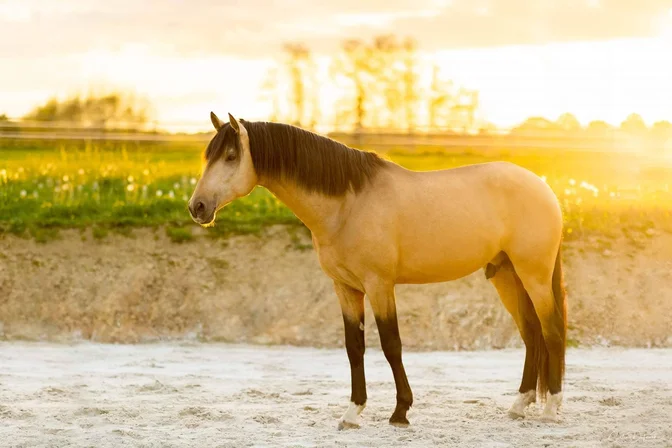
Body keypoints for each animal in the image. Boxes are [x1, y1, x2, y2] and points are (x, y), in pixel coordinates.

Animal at [189, 111, 568, 428]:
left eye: (231, 156)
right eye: (208, 156)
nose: (197, 207)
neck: (347, 204)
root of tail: (544, 187)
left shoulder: (379, 285)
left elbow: (391, 344)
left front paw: (400, 411)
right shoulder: (345, 288)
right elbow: (353, 347)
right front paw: (352, 412)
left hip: (533, 276)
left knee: (551, 331)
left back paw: (551, 409)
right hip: (506, 276)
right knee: (531, 334)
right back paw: (519, 405)